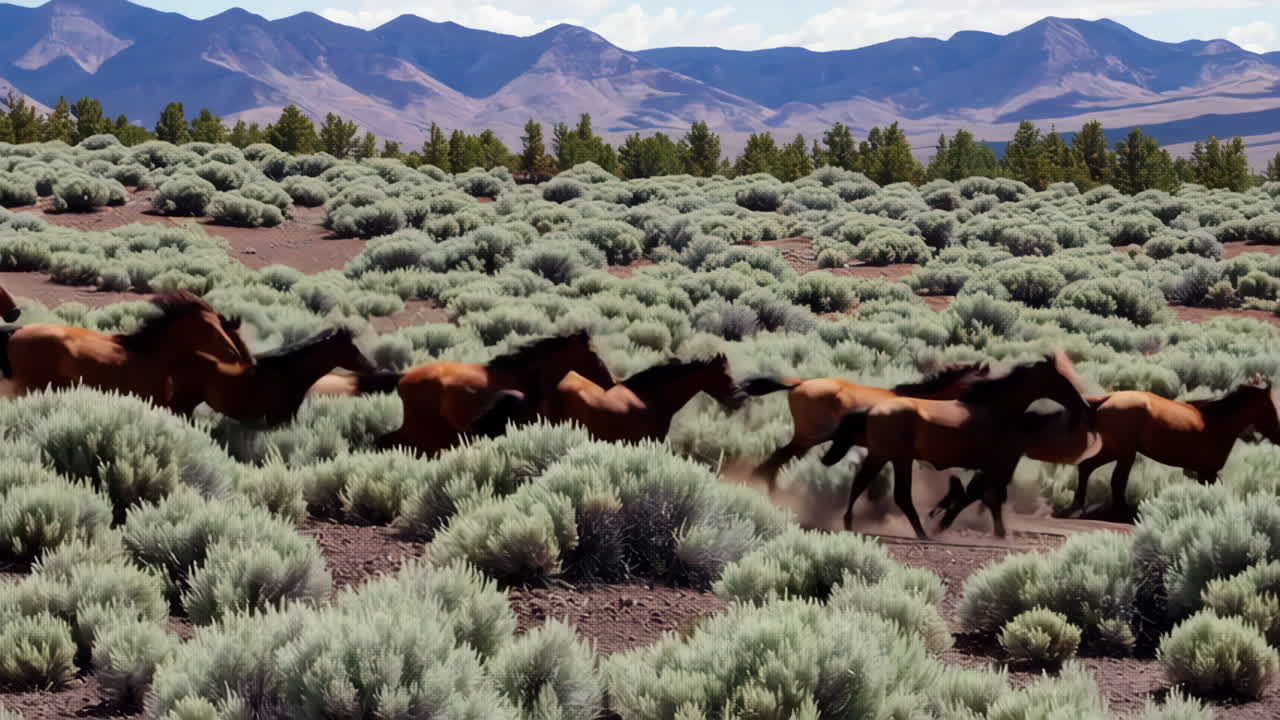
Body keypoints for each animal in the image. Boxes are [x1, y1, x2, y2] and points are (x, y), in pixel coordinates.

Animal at [821, 351, 1093, 540]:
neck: (996, 410)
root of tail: (872, 410)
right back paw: (922, 533)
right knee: (900, 495)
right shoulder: (998, 465)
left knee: (860, 484)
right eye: (1061, 380)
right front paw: (992, 532)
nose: (1084, 406)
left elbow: (976, 495)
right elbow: (984, 496)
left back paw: (849, 523)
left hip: (880, 456)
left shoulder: (991, 467)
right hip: (899, 459)